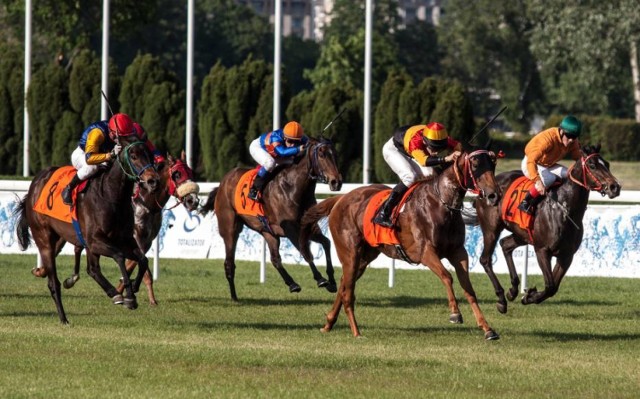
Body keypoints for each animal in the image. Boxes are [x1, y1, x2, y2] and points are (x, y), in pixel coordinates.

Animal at [14, 138, 160, 324]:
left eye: (150, 155)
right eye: (133, 156)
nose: (153, 181)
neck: (111, 196)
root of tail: (34, 185)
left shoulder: (125, 239)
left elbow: (142, 259)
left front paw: (133, 287)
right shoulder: (95, 240)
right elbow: (119, 256)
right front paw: (129, 296)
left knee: (92, 269)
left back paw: (111, 293)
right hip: (44, 238)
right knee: (54, 282)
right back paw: (64, 318)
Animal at [64, 152, 200, 306]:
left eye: (191, 172)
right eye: (177, 174)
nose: (193, 200)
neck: (145, 203)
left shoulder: (146, 241)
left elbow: (139, 262)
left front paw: (148, 298)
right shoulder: (134, 237)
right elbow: (133, 263)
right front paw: (124, 288)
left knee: (78, 248)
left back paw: (72, 278)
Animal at [200, 137, 342, 300]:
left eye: (335, 154)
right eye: (322, 154)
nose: (336, 182)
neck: (293, 188)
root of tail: (223, 183)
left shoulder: (307, 226)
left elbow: (326, 243)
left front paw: (332, 281)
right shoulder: (290, 228)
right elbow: (305, 251)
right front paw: (321, 279)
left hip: (268, 232)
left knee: (275, 259)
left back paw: (292, 284)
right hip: (229, 228)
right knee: (229, 262)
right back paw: (234, 296)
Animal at [298, 148, 500, 340]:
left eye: (493, 164)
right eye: (475, 165)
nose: (494, 195)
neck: (442, 203)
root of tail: (341, 199)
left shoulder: (458, 252)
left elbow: (469, 289)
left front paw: (487, 329)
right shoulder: (426, 252)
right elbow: (447, 276)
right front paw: (455, 313)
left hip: (365, 257)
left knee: (344, 284)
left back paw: (329, 322)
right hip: (350, 253)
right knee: (348, 292)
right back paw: (356, 332)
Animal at [476, 145, 620, 316]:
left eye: (607, 164)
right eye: (592, 165)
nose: (615, 187)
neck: (564, 210)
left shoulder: (566, 255)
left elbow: (554, 288)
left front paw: (528, 295)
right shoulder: (542, 250)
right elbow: (550, 285)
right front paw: (529, 296)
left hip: (522, 235)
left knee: (505, 244)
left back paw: (513, 290)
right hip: (491, 229)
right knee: (485, 259)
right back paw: (501, 300)